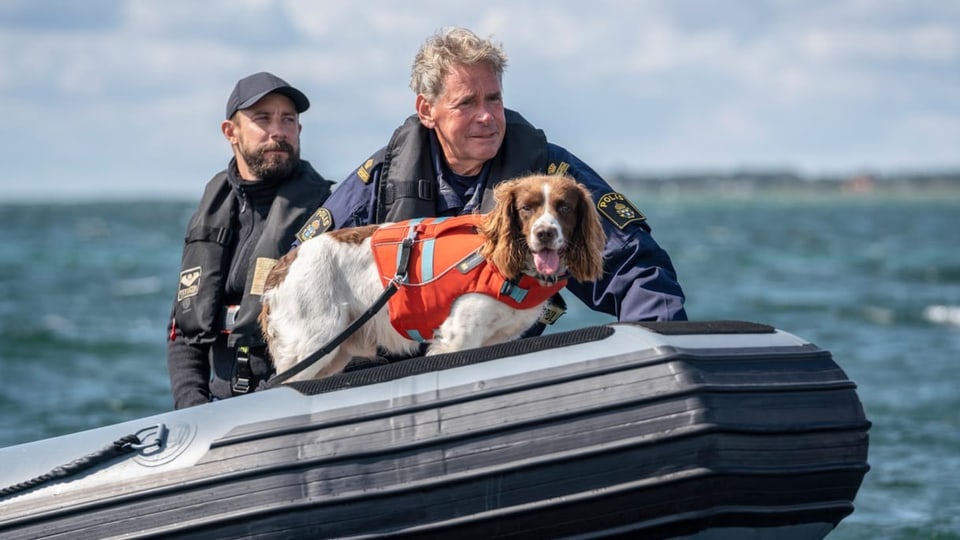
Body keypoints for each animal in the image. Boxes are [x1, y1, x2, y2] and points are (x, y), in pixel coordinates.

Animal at [258, 173, 604, 380]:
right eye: (527, 208)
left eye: (564, 207)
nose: (545, 233)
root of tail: (283, 265)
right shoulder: (459, 335)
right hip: (311, 344)